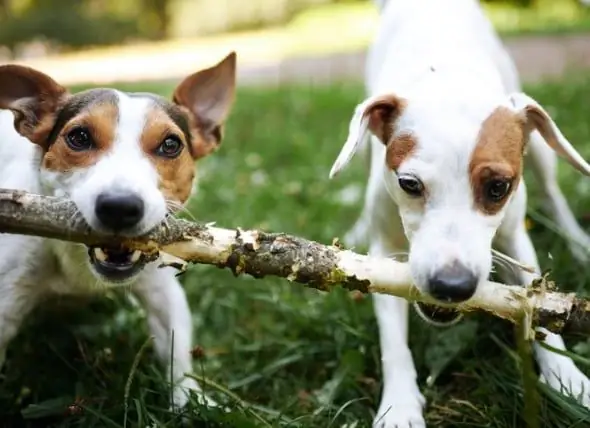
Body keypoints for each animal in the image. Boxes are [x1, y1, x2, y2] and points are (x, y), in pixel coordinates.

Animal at [0, 50, 237, 412]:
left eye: (171, 144)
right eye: (79, 137)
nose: (120, 206)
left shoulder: (162, 290)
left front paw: (188, 399)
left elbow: (176, 351)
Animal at [330, 0, 590, 428]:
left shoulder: (516, 237)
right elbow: (392, 337)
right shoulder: (384, 249)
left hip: (540, 149)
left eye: (499, 187)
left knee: (554, 195)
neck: (445, 77)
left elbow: (535, 302)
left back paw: (580, 244)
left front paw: (566, 376)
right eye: (409, 184)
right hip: (364, 145)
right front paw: (399, 404)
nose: (451, 285)